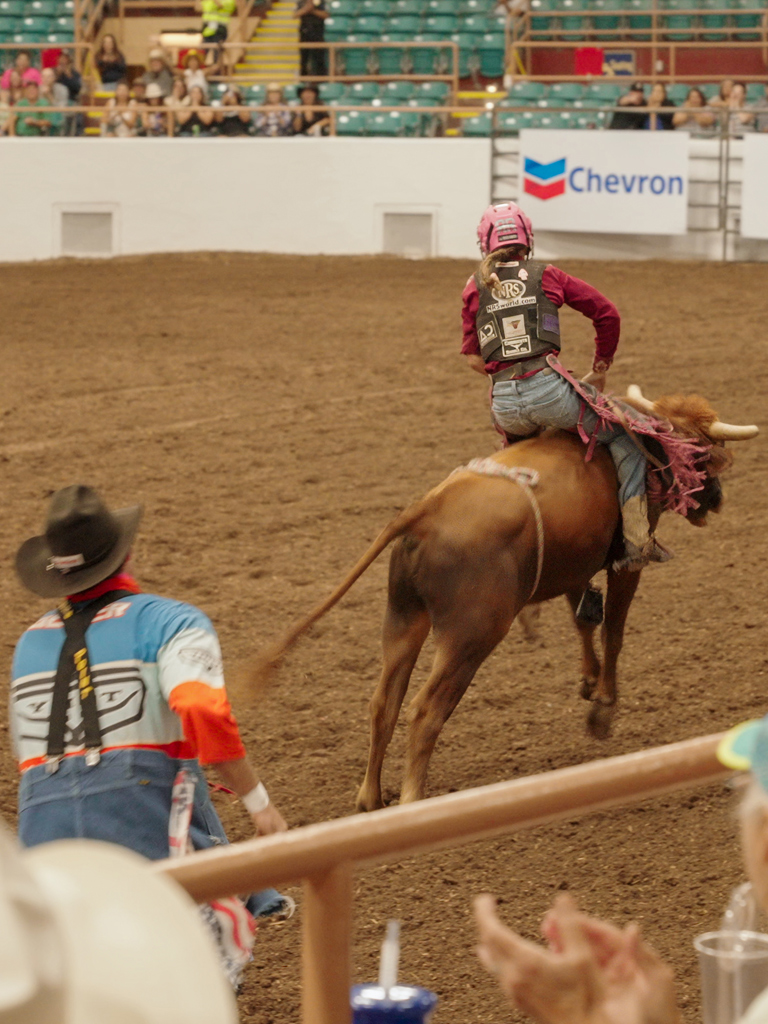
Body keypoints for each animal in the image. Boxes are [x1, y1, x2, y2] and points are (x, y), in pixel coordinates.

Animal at [256, 385, 761, 806]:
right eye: (705, 456)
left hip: (403, 618)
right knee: (425, 711)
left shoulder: (572, 562)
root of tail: (425, 512)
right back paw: (412, 799)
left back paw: (370, 798)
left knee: (384, 703)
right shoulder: (627, 562)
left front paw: (587, 680)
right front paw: (602, 707)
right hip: (471, 635)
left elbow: (583, 619)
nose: (716, 500)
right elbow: (614, 631)